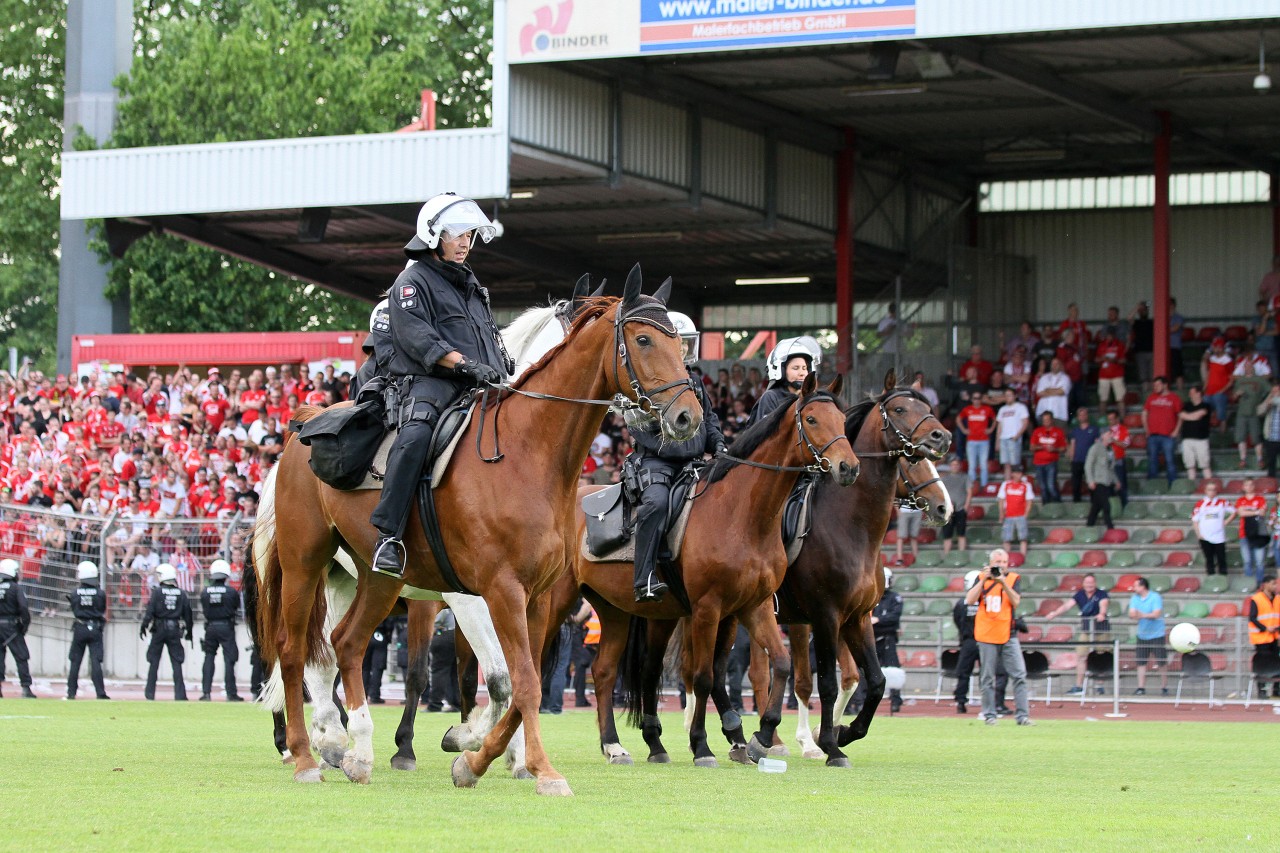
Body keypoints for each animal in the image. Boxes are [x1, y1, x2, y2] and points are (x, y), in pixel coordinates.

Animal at [253, 270, 706, 788]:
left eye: (679, 343)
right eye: (644, 339)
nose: (688, 418)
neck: (525, 452)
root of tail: (300, 431)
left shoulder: (535, 596)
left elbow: (521, 679)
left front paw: (487, 755)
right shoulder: (489, 593)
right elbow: (512, 680)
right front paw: (510, 756)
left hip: (369, 579)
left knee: (340, 647)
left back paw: (353, 750)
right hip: (305, 565)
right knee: (294, 653)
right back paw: (308, 753)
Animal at [570, 371, 860, 763]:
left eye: (842, 420)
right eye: (812, 419)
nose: (849, 467)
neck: (743, 515)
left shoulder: (754, 605)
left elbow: (781, 664)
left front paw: (760, 736)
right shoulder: (708, 609)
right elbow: (705, 676)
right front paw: (703, 745)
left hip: (619, 612)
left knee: (608, 671)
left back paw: (620, 745)